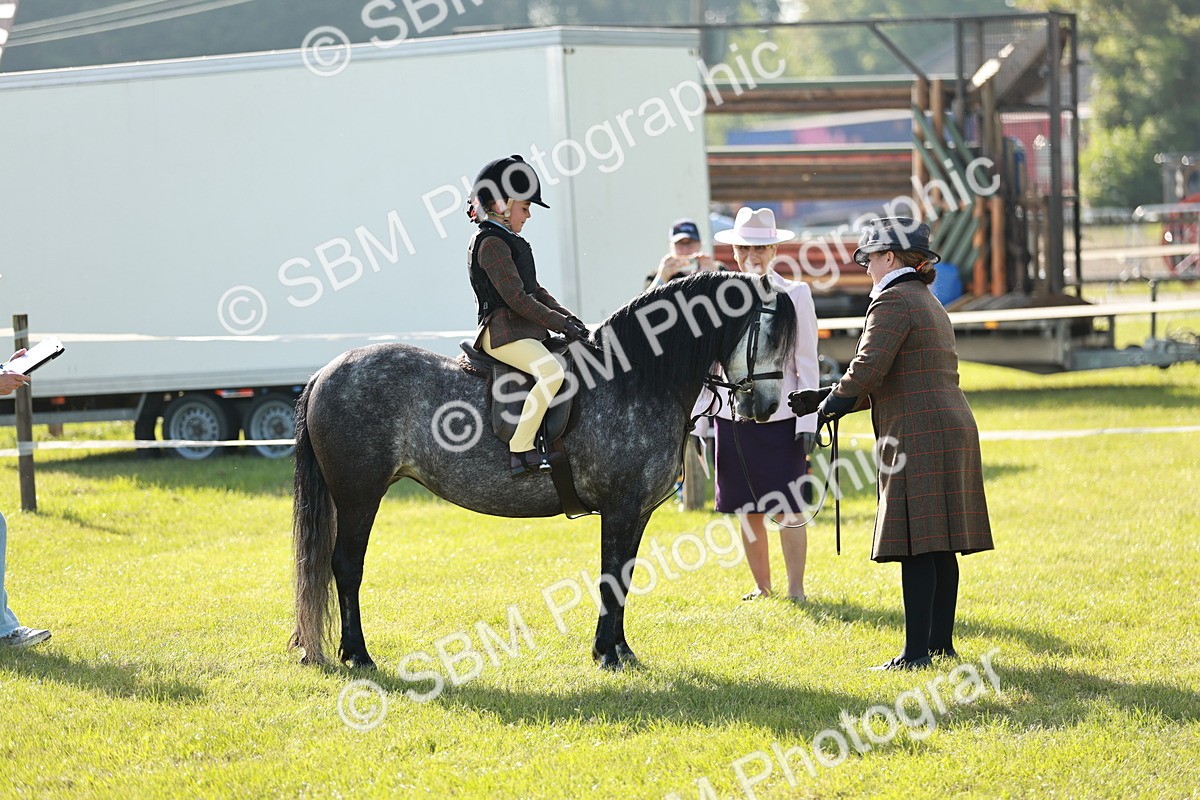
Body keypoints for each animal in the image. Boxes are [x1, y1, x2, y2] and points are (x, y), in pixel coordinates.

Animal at [289, 271, 798, 670]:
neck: (635, 379)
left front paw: (621, 650)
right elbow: (610, 576)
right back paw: (358, 655)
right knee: (346, 567)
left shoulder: (638, 513)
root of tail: (325, 373)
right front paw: (606, 654)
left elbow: (624, 577)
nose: (767, 407)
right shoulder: (619, 509)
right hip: (359, 496)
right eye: (770, 335)